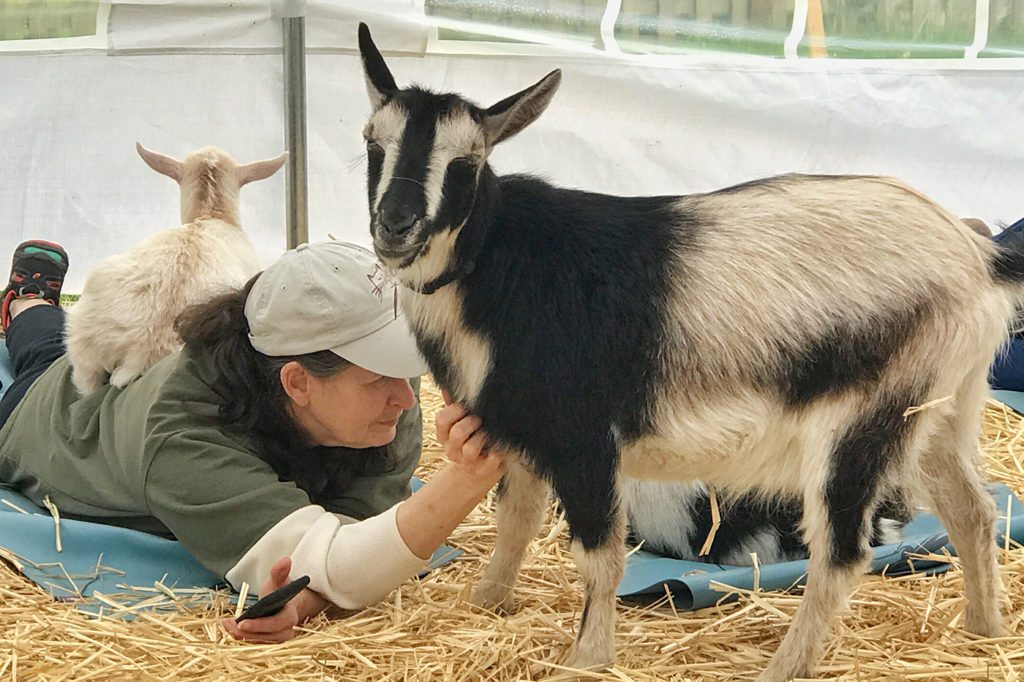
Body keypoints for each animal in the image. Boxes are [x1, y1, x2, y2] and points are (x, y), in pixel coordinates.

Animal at [356, 23, 1011, 675]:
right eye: (371, 144)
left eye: (466, 162)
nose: (396, 224)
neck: (492, 263)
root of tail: (980, 259)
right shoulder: (520, 432)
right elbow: (516, 520)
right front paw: (487, 601)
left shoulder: (585, 439)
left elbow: (599, 556)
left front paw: (587, 656)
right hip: (937, 408)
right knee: (973, 511)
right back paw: (985, 632)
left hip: (864, 422)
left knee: (843, 552)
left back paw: (785, 666)